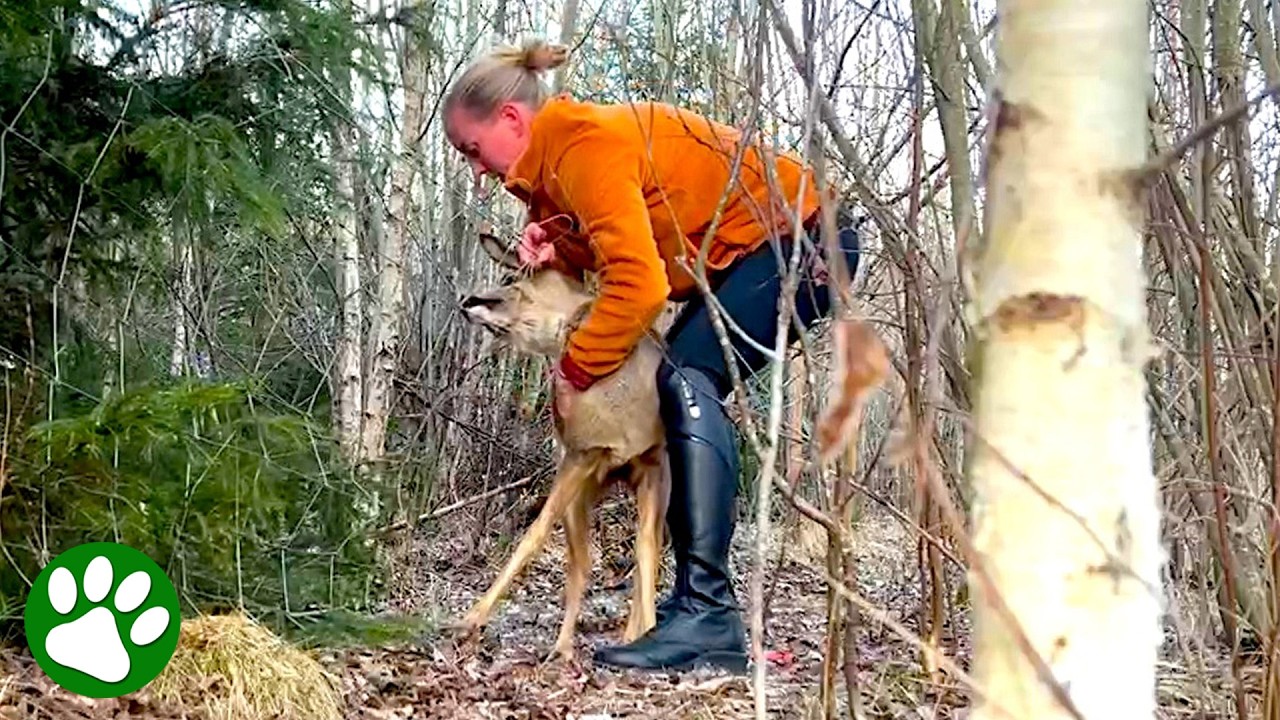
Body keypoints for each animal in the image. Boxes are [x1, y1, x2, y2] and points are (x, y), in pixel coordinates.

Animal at [454, 229, 671, 663]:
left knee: (633, 554)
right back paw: (564, 646)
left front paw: (471, 618)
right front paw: (472, 618)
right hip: (584, 490)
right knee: (582, 562)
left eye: (509, 280)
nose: (467, 301)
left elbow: (643, 550)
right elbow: (539, 536)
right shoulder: (581, 454)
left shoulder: (646, 463)